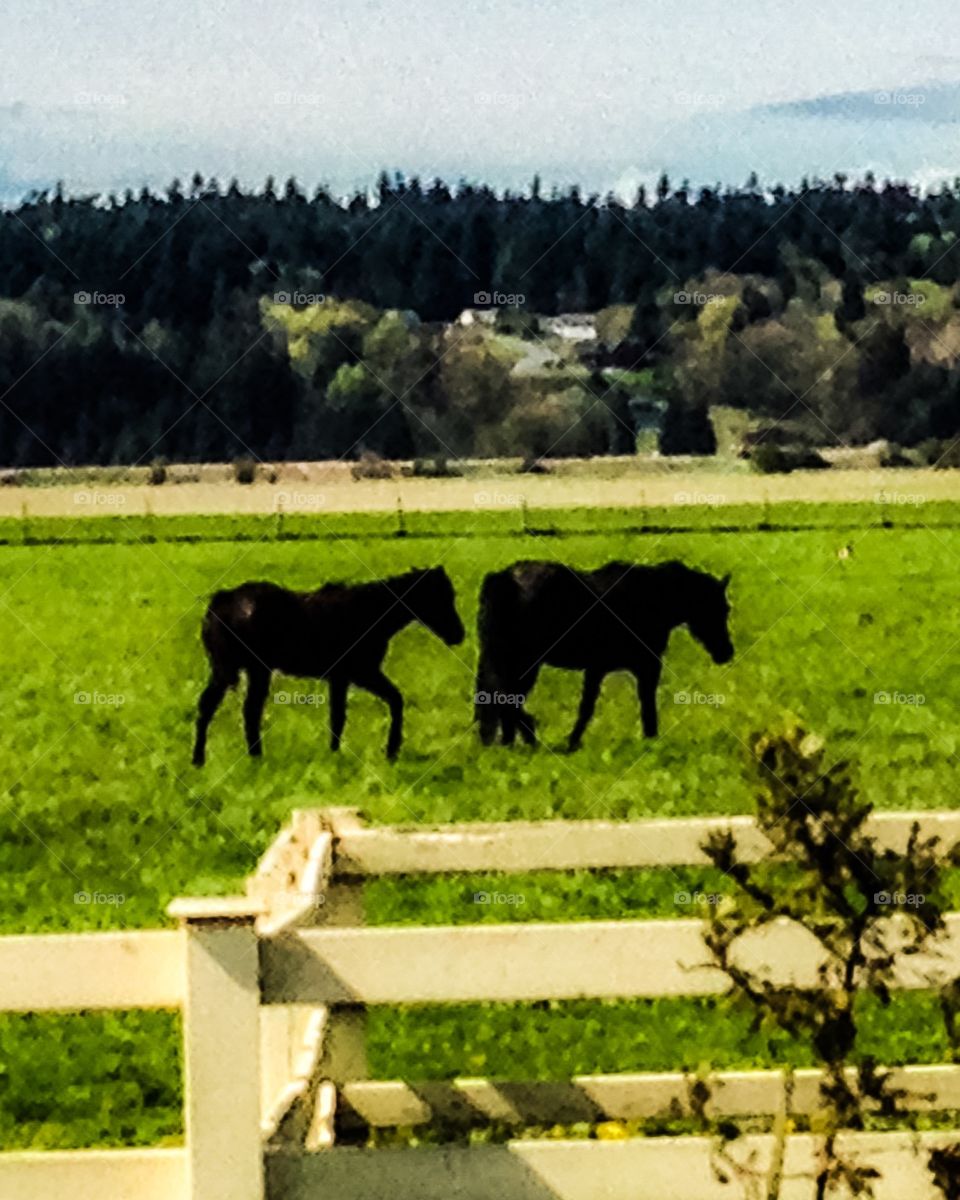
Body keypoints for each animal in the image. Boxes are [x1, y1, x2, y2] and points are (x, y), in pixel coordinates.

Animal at [192, 566, 465, 765]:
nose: (458, 635)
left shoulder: (342, 678)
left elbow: (339, 716)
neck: (367, 612)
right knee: (230, 709)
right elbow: (388, 702)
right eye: (438, 598)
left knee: (232, 709)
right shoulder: (361, 673)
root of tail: (223, 601)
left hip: (242, 670)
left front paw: (336, 754)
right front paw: (390, 751)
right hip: (245, 671)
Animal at [474, 560, 732, 751]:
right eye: (717, 608)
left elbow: (588, 707)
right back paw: (526, 737)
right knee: (505, 698)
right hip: (524, 662)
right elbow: (643, 705)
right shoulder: (644, 667)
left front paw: (573, 741)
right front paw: (651, 741)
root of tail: (504, 579)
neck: (649, 597)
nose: (726, 653)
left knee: (503, 700)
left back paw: (510, 743)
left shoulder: (598, 669)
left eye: (725, 609)